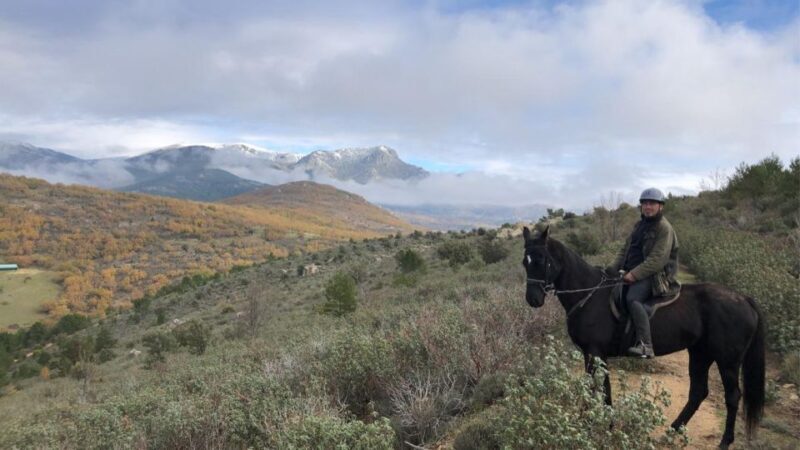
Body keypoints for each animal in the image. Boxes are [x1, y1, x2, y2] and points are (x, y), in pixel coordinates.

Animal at [521, 226, 764, 449]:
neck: (588, 295)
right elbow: (598, 388)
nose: (533, 299)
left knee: (732, 396)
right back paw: (672, 430)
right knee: (698, 392)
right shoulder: (592, 354)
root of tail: (744, 298)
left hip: (727, 361)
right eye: (525, 262)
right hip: (700, 353)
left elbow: (599, 389)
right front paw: (598, 423)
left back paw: (724, 441)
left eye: (543, 260)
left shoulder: (595, 352)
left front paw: (596, 425)